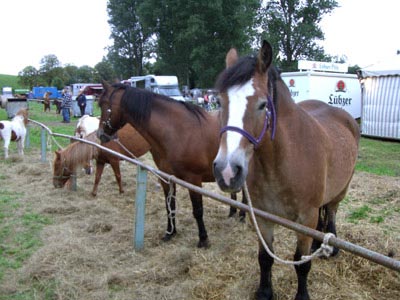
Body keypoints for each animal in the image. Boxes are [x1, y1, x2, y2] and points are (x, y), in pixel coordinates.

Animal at [97, 82, 247, 248]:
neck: (176, 132)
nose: (101, 134)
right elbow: (170, 206)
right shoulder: (166, 178)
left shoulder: (193, 180)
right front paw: (170, 232)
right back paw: (236, 213)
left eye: (103, 104)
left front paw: (203, 239)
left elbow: (197, 210)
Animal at [212, 39, 360, 300]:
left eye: (263, 105)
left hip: (340, 191)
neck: (281, 163)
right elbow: (264, 258)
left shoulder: (305, 219)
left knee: (331, 211)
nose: (227, 171)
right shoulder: (262, 217)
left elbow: (302, 263)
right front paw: (264, 292)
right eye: (219, 102)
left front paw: (302, 295)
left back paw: (331, 248)